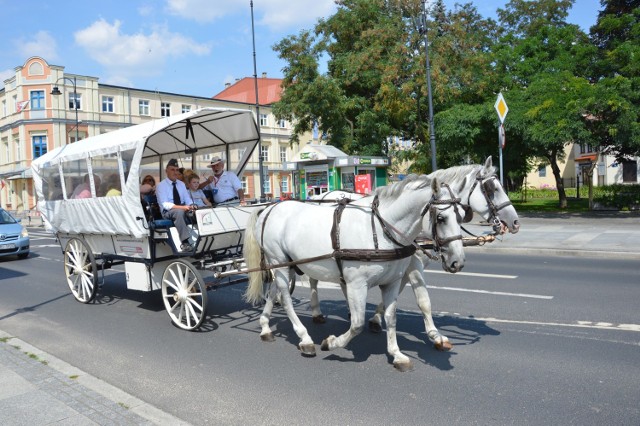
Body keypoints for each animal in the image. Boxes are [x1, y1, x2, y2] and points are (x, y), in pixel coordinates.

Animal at [245, 176, 464, 370]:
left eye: (461, 215)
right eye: (441, 218)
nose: (458, 262)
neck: (381, 229)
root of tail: (269, 208)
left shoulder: (392, 282)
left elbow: (391, 318)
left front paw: (397, 354)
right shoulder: (357, 285)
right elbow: (357, 324)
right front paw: (331, 343)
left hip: (287, 265)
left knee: (274, 291)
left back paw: (265, 327)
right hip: (279, 262)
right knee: (285, 298)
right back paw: (304, 338)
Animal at [304, 156, 520, 350]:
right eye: (492, 189)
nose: (515, 222)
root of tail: (317, 197)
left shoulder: (404, 265)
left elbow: (402, 292)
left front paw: (378, 318)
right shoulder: (413, 263)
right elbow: (423, 299)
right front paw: (433, 334)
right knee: (313, 279)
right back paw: (317, 313)